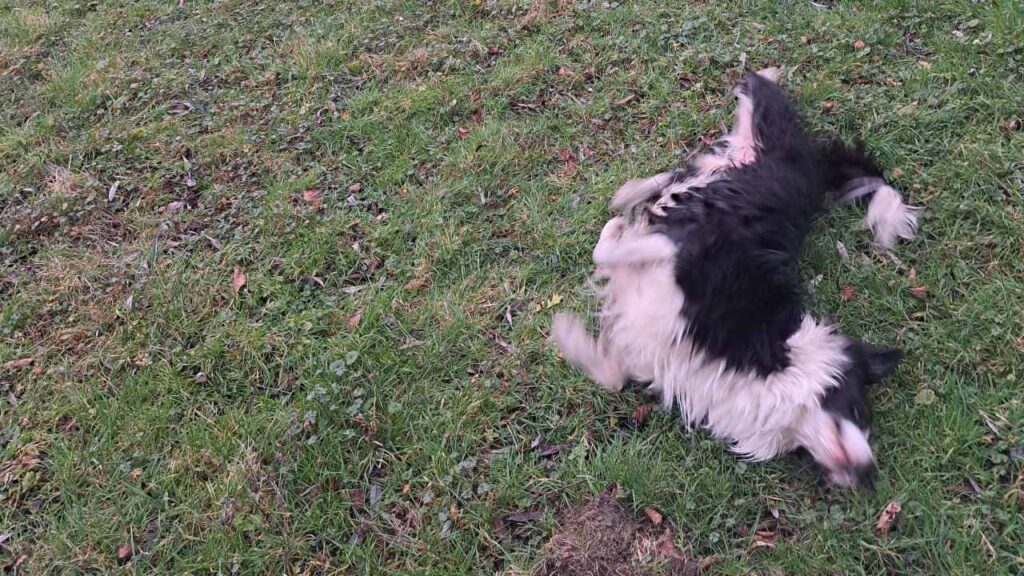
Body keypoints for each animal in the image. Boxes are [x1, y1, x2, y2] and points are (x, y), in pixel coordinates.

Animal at [552, 68, 921, 487]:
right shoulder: (702, 252)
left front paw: (572, 339)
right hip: (767, 125)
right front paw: (618, 237)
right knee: (754, 90)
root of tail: (818, 166)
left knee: (683, 169)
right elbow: (616, 249)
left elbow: (614, 371)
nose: (869, 479)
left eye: (799, 453)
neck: (769, 356)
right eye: (859, 410)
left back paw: (636, 191)